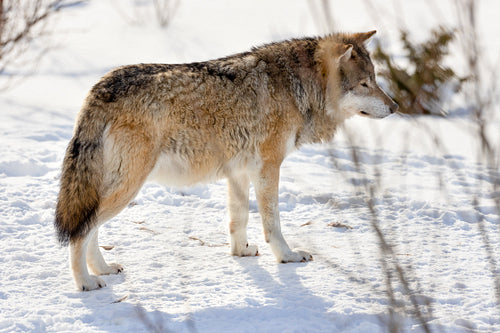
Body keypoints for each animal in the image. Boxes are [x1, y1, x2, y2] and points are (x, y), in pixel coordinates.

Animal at [54, 31, 398, 290]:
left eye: (375, 80)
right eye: (365, 84)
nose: (395, 107)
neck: (297, 87)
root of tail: (99, 88)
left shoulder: (240, 171)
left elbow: (239, 219)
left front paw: (240, 253)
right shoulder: (268, 167)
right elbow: (272, 222)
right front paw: (286, 256)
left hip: (113, 186)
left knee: (91, 226)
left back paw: (103, 270)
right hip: (127, 186)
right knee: (81, 231)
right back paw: (85, 282)